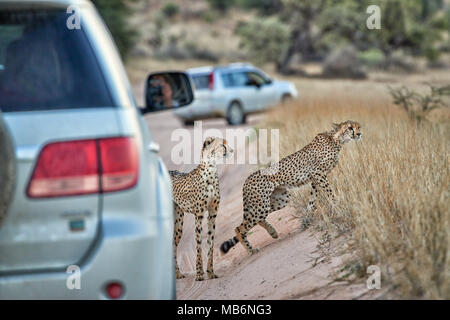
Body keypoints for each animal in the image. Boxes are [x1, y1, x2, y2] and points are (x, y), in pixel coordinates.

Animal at [171, 136, 234, 280]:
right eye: (222, 145)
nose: (232, 150)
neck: (211, 170)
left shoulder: (213, 213)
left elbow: (210, 242)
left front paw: (210, 272)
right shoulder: (198, 215)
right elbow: (199, 244)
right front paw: (199, 273)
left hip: (179, 221)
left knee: (173, 243)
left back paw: (177, 274)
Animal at [221, 121, 362, 256]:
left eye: (358, 126)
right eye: (350, 128)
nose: (359, 133)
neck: (336, 139)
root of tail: (246, 181)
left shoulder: (315, 178)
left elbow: (312, 198)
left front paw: (309, 215)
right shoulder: (318, 173)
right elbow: (330, 193)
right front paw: (338, 206)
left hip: (278, 200)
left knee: (258, 220)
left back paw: (273, 232)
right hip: (261, 205)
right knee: (239, 228)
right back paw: (251, 250)